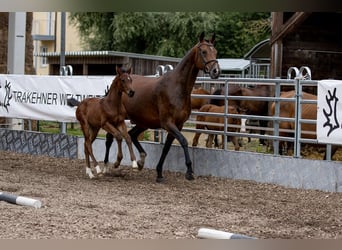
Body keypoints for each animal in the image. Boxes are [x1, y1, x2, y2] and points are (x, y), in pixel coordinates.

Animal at [104, 32, 220, 183]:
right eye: (204, 51)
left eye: (215, 52)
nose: (216, 71)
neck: (177, 87)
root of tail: (115, 82)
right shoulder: (168, 123)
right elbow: (183, 141)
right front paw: (189, 171)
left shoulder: (178, 125)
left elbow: (166, 148)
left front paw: (159, 173)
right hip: (117, 119)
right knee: (109, 138)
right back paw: (107, 166)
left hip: (143, 122)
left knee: (132, 135)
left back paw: (140, 161)